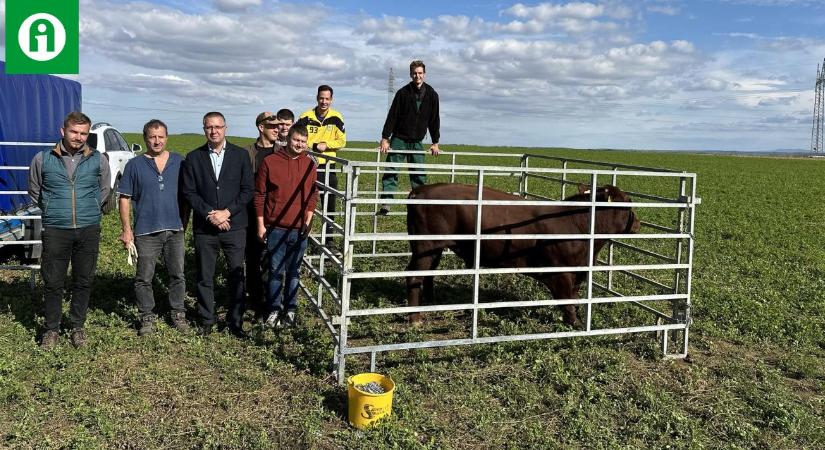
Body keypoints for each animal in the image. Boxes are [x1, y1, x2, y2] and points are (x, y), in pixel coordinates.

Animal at [402, 183, 640, 326]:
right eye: (628, 202)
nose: (638, 223)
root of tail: (420, 190)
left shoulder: (578, 271)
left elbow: (573, 297)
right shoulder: (560, 272)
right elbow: (567, 301)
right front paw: (576, 324)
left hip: (433, 249)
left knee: (428, 274)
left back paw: (431, 302)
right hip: (425, 246)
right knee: (414, 276)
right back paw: (415, 318)